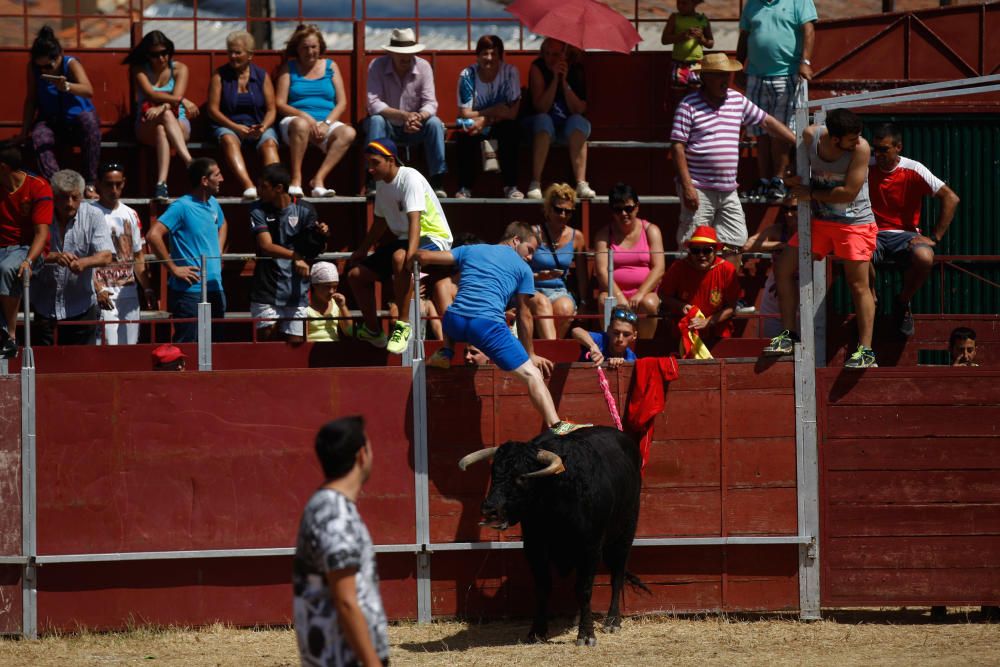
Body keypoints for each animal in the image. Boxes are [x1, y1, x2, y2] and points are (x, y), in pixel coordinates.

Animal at [460, 428, 648, 648]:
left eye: (521, 477)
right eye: (494, 472)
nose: (489, 509)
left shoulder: (591, 548)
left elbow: (584, 589)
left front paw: (587, 635)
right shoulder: (534, 547)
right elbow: (543, 587)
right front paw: (537, 632)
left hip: (625, 533)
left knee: (617, 575)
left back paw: (612, 622)